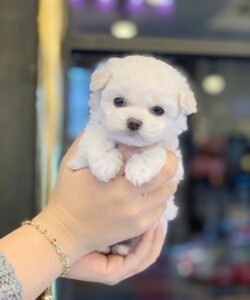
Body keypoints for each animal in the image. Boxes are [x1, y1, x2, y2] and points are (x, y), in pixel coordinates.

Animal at [68, 55, 197, 254]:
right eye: (119, 101)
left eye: (158, 110)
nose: (134, 122)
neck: (130, 144)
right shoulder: (85, 145)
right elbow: (99, 138)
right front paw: (105, 164)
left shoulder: (173, 159)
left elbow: (154, 151)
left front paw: (139, 170)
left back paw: (122, 248)